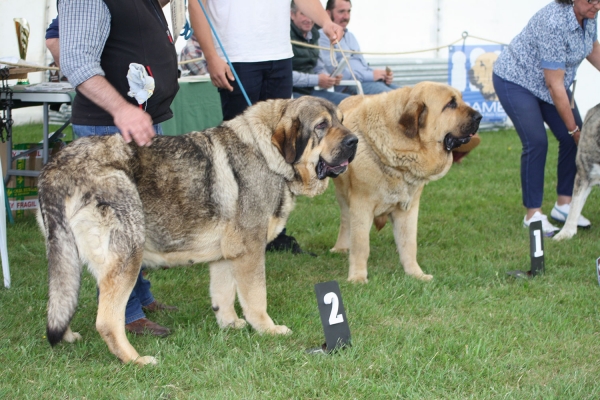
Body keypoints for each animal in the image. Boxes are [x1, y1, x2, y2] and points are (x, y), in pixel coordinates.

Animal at [38, 97, 356, 366]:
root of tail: (58, 166)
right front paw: (268, 328)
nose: (354, 141)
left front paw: (230, 324)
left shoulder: (226, 255)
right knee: (106, 321)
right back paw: (135, 360)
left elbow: (223, 295)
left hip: (67, 257)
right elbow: (256, 298)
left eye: (341, 121)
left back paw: (68, 336)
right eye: (321, 126)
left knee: (63, 300)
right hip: (127, 256)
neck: (267, 152)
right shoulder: (251, 250)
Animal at [330, 82, 480, 282]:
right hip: (342, 195)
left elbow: (409, 244)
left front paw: (416, 274)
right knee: (345, 220)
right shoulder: (361, 206)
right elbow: (361, 245)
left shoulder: (408, 208)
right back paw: (340, 247)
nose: (480, 116)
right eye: (450, 104)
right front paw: (358, 278)